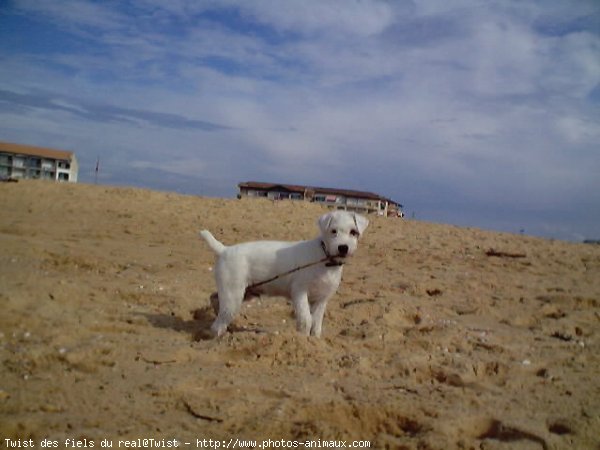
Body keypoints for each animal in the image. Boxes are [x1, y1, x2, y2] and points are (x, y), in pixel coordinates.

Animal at [202, 211, 368, 338]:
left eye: (353, 232)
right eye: (333, 231)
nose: (343, 248)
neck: (325, 258)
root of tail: (224, 250)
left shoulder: (321, 299)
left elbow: (316, 323)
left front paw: (314, 340)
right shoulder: (300, 292)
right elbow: (306, 319)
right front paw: (303, 339)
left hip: (243, 292)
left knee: (214, 298)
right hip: (233, 295)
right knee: (218, 323)